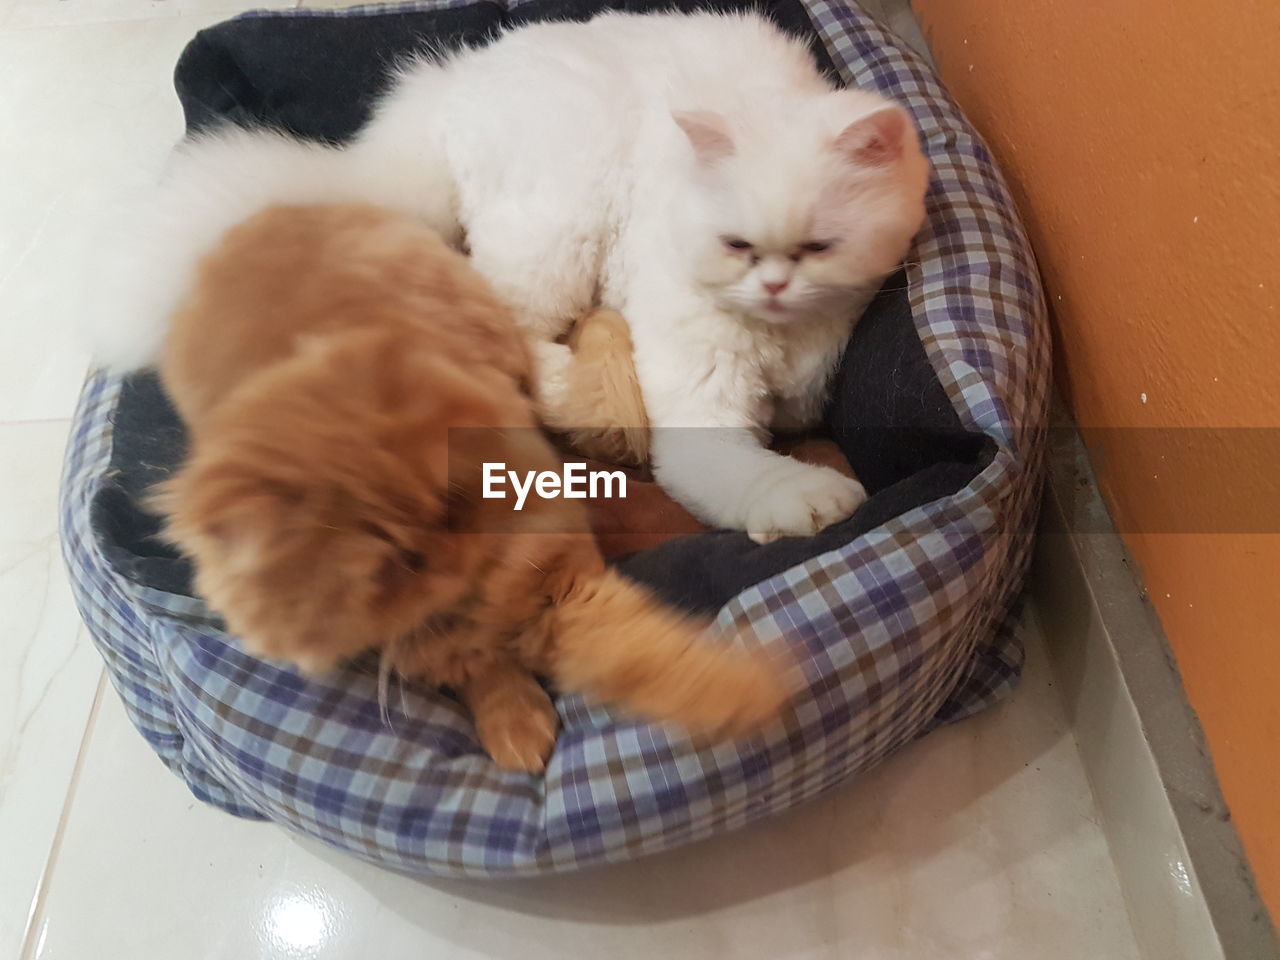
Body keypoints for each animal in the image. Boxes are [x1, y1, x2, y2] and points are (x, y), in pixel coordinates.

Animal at [92, 9, 931, 542]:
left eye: (818, 247)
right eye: (736, 245)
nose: (775, 288)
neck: (783, 337)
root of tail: (450, 82)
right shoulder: (701, 396)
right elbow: (738, 471)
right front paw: (809, 501)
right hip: (559, 228)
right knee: (503, 338)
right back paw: (571, 393)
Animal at [154, 203, 783, 773]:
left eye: (454, 506)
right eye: (392, 568)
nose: (452, 556)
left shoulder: (563, 576)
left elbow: (652, 658)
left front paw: (756, 688)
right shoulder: (441, 640)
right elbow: (489, 673)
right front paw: (518, 730)